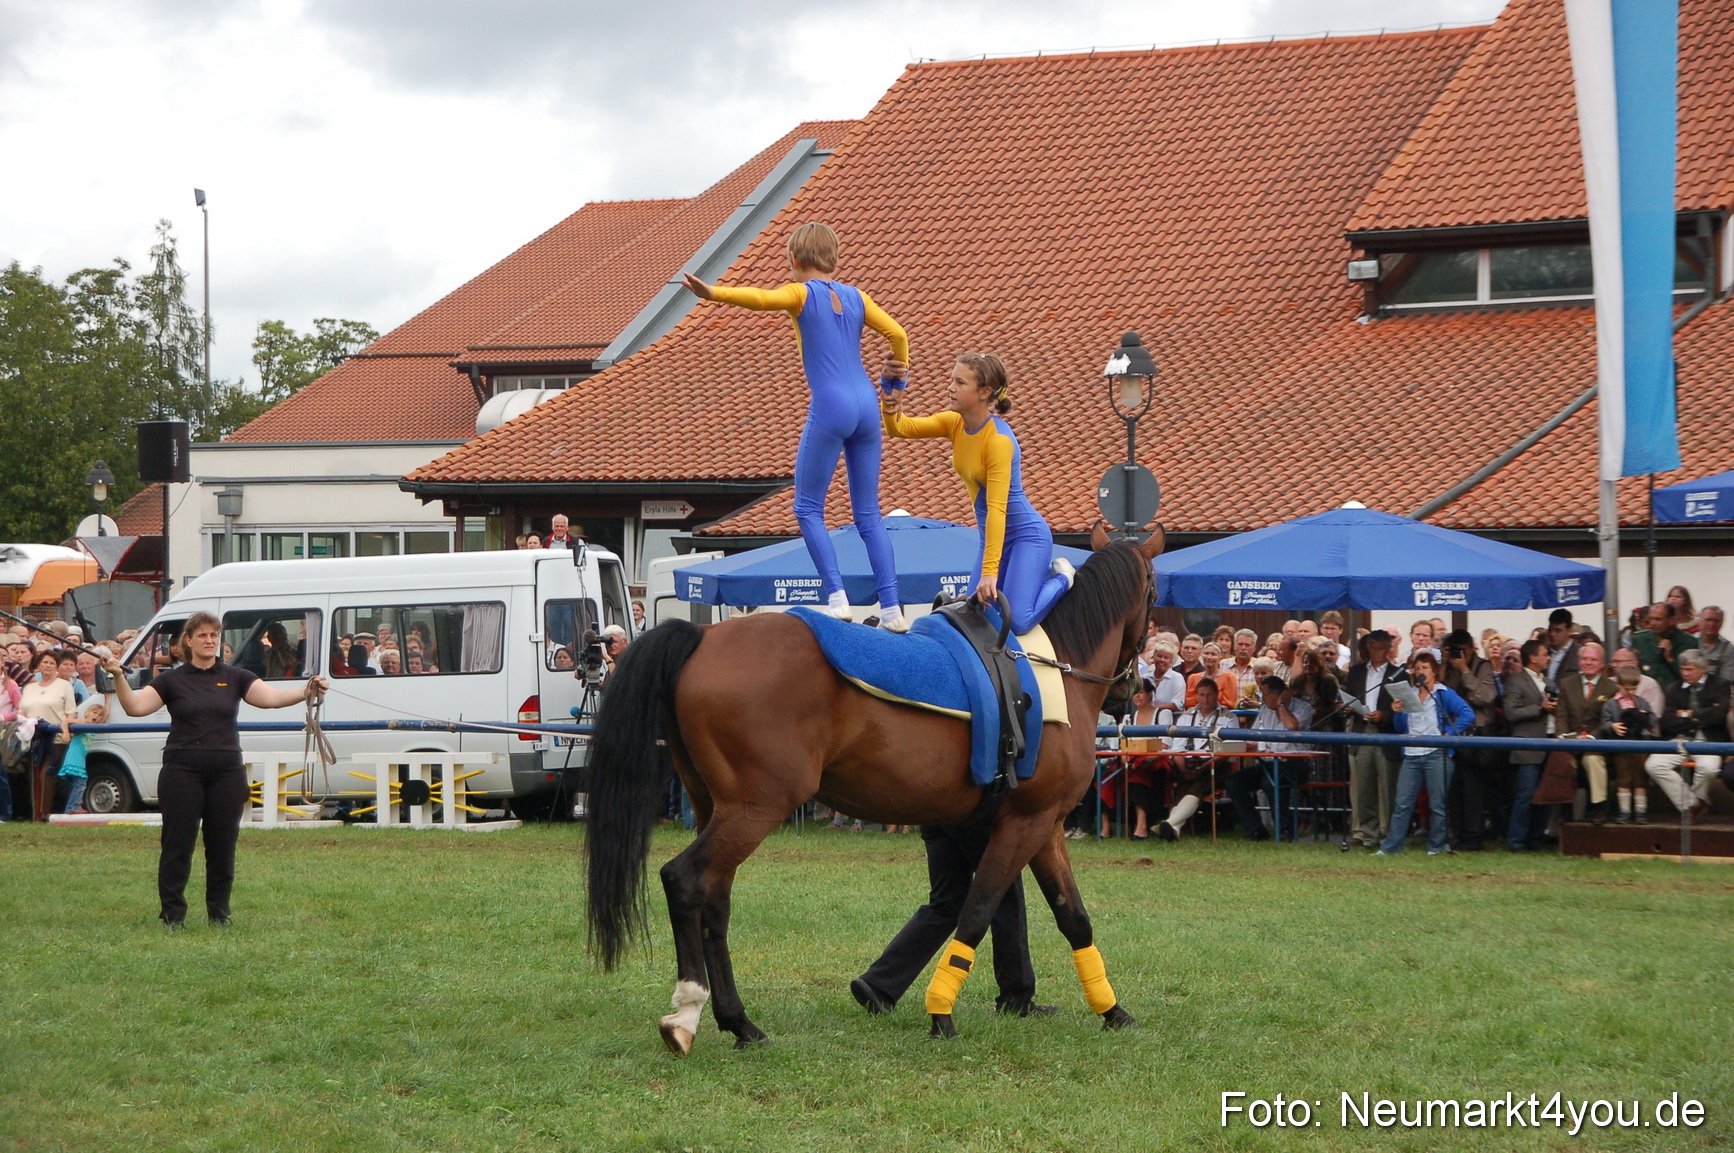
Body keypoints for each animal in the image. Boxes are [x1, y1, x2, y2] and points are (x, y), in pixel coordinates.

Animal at [584, 523, 1164, 1053]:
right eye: (1156, 594)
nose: (1133, 690)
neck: (1049, 669)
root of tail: (703, 636)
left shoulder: (1043, 824)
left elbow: (1073, 916)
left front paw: (1113, 1012)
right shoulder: (1027, 820)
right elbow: (978, 910)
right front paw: (941, 1014)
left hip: (716, 808)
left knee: (714, 899)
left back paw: (739, 1023)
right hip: (755, 808)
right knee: (685, 880)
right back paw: (687, 1014)